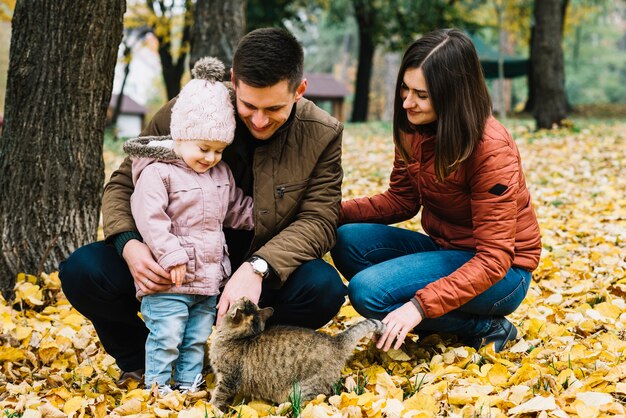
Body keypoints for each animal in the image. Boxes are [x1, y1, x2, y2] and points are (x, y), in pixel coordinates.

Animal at [207, 298, 382, 408]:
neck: (239, 337)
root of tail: (335, 340)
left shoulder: (228, 379)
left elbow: (218, 396)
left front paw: (211, 408)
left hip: (301, 390)